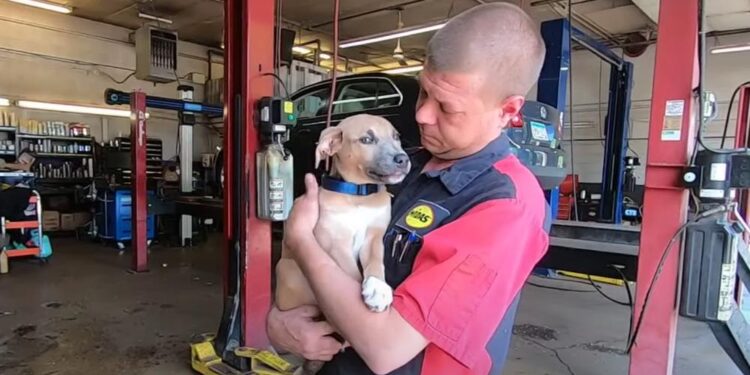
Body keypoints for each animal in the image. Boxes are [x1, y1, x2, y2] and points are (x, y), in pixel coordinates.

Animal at [276, 114, 412, 374]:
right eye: (367, 140)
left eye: (396, 137)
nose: (403, 159)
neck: (358, 195)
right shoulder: (334, 243)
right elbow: (351, 275)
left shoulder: (374, 237)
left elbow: (376, 263)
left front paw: (378, 289)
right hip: (289, 270)